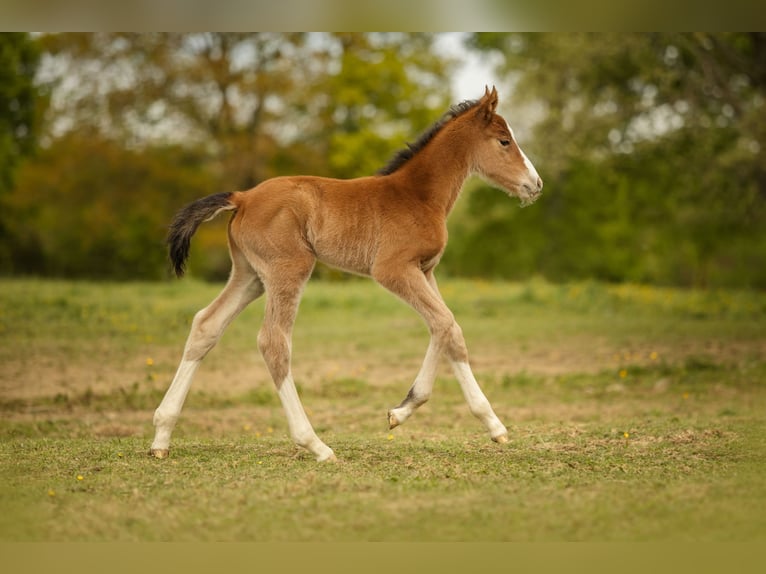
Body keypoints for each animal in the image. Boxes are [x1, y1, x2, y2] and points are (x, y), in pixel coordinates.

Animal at [152, 86, 544, 464]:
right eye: (504, 141)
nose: (535, 184)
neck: (417, 196)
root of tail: (243, 196)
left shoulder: (425, 270)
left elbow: (447, 327)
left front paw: (404, 412)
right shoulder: (393, 269)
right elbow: (445, 323)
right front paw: (488, 423)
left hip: (249, 275)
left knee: (206, 325)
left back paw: (161, 436)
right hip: (289, 269)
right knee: (274, 342)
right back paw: (316, 445)